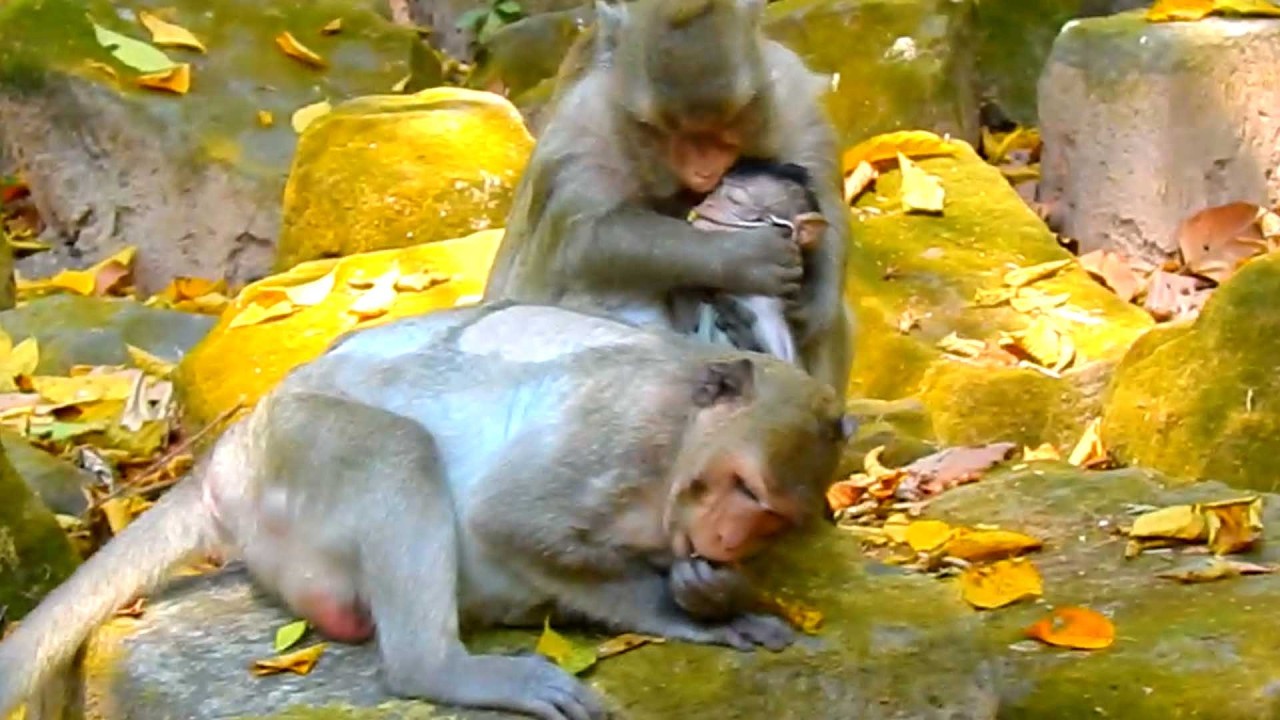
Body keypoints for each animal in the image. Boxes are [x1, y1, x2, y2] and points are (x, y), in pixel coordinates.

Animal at [0, 302, 853, 720]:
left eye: (771, 516)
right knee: (398, 452)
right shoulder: (623, 424)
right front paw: (695, 611)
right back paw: (443, 668)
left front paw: (718, 588)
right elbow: (511, 521)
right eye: (745, 489)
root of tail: (226, 454)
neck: (678, 449)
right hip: (289, 452)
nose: (730, 538)